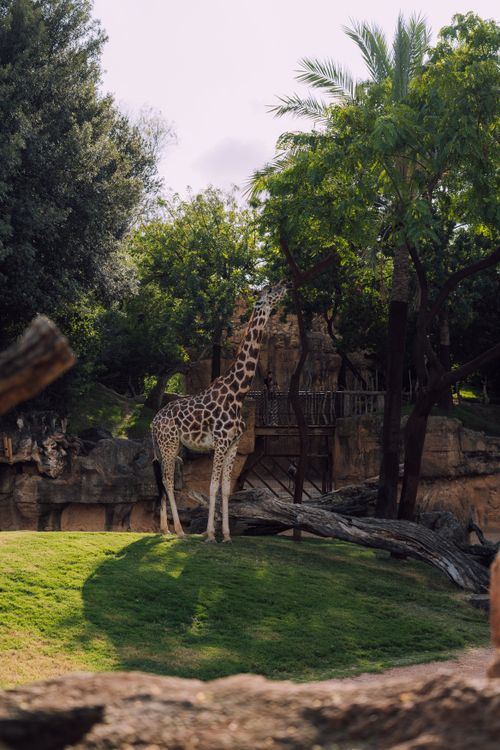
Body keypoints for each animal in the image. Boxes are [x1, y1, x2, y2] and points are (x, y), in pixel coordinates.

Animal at [151, 281, 290, 542]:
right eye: (268, 290)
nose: (284, 285)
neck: (238, 393)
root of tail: (153, 423)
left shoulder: (234, 444)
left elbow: (226, 489)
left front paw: (226, 535)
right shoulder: (221, 442)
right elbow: (212, 487)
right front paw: (209, 534)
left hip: (167, 445)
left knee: (161, 479)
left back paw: (165, 529)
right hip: (169, 443)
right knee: (167, 479)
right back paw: (179, 530)